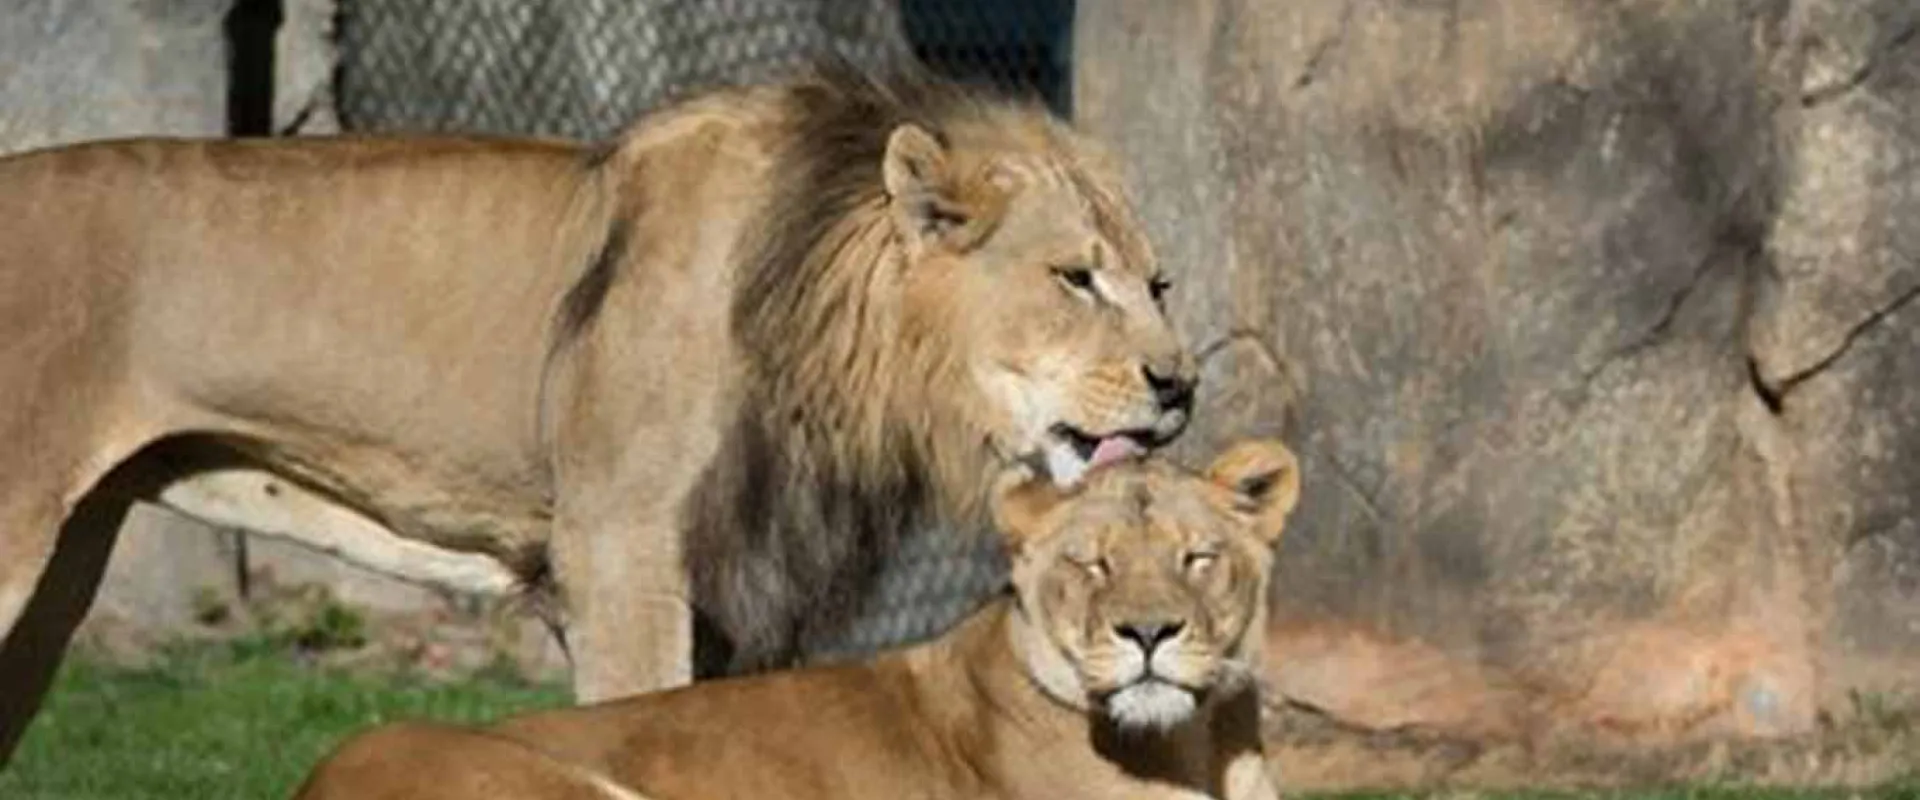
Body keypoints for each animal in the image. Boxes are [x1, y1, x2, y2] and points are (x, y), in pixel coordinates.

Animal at [0, 64, 1197, 762]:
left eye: (1159, 283)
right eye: (1075, 278)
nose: (1180, 385)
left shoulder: (742, 595)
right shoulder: (618, 553)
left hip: (62, 573)